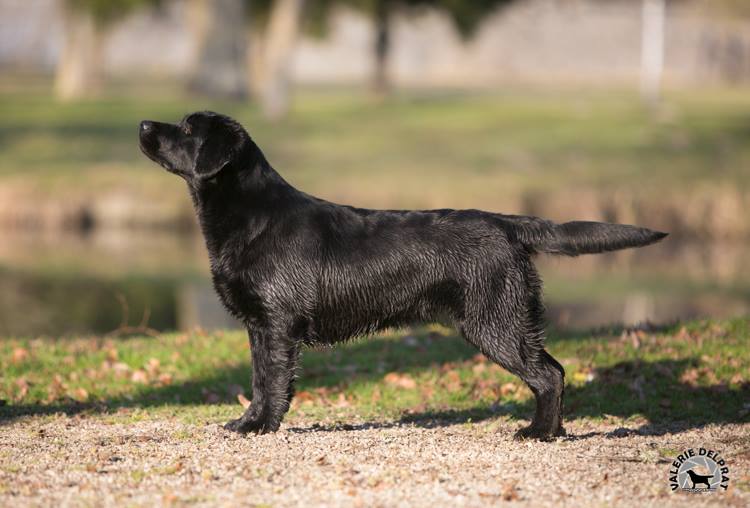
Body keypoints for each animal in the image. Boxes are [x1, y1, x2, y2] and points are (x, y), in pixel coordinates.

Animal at [138, 111, 668, 440]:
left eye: (187, 128)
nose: (143, 124)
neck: (252, 215)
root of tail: (504, 224)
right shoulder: (258, 326)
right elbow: (258, 380)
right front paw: (250, 421)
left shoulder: (275, 325)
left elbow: (271, 381)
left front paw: (257, 426)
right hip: (509, 321)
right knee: (553, 370)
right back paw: (554, 432)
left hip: (494, 323)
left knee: (548, 375)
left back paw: (537, 433)